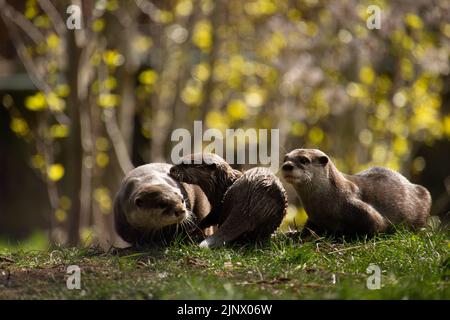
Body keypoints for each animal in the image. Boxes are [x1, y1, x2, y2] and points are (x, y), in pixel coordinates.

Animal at [282, 149, 432, 236]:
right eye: (285, 158)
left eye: (304, 160)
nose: (287, 166)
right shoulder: (314, 218)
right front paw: (295, 234)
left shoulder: (359, 208)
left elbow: (377, 226)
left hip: (424, 195)